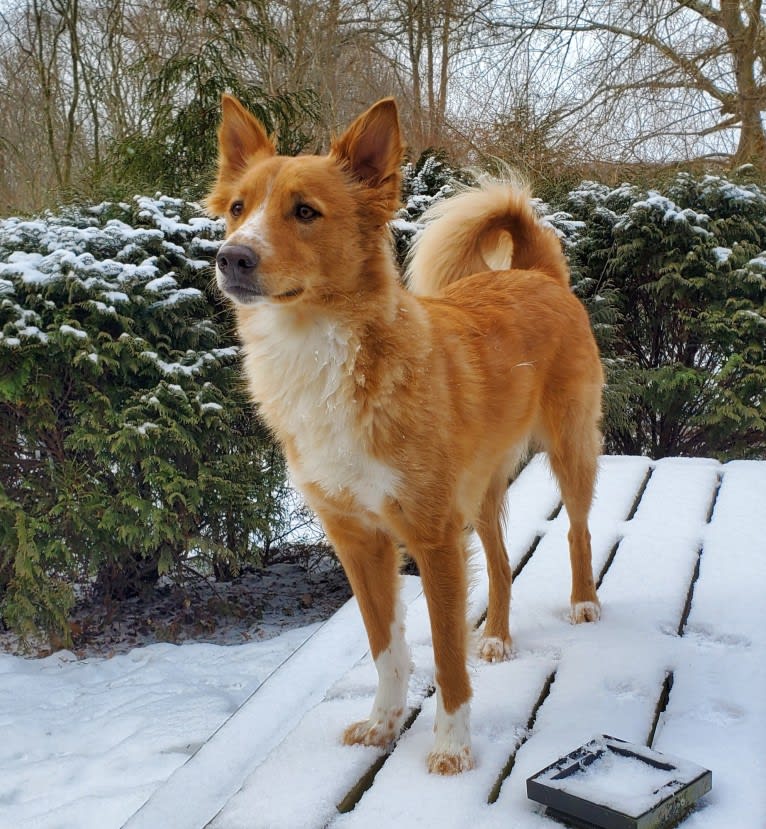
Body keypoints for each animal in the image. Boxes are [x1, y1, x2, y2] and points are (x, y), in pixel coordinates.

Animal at [208, 97, 608, 776]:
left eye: (305, 211)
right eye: (238, 208)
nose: (232, 257)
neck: (321, 355)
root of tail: (535, 273)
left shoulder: (433, 537)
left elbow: (446, 657)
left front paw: (451, 745)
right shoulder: (358, 540)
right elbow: (386, 647)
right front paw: (383, 723)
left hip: (569, 448)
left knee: (577, 528)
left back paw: (583, 601)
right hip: (480, 494)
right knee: (500, 564)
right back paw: (496, 635)